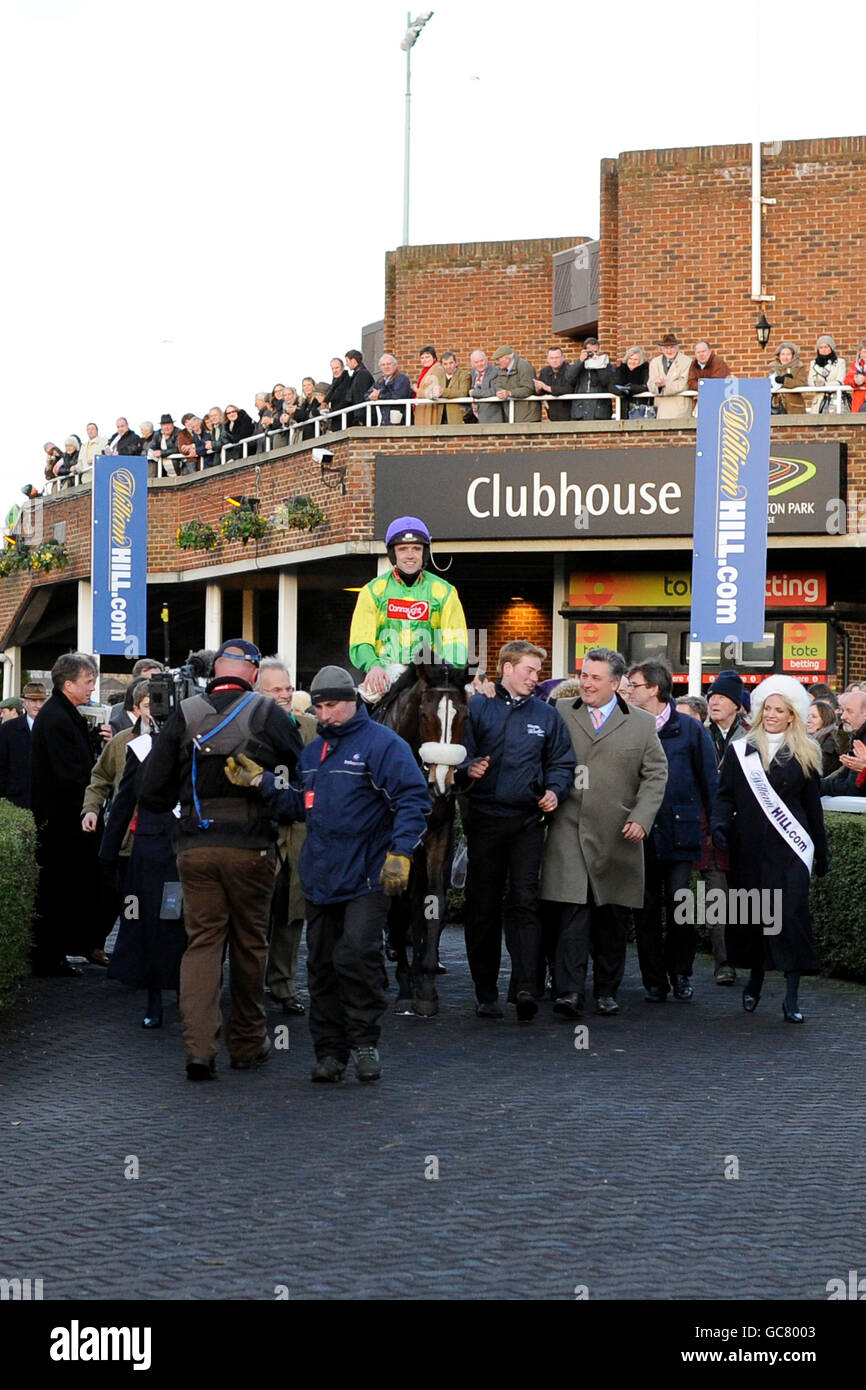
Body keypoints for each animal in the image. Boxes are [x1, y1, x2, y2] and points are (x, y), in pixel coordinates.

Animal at [369, 656, 467, 1017]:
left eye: (464, 716)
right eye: (425, 715)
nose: (442, 782)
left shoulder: (438, 832)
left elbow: (432, 899)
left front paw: (425, 984)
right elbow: (399, 904)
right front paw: (405, 987)